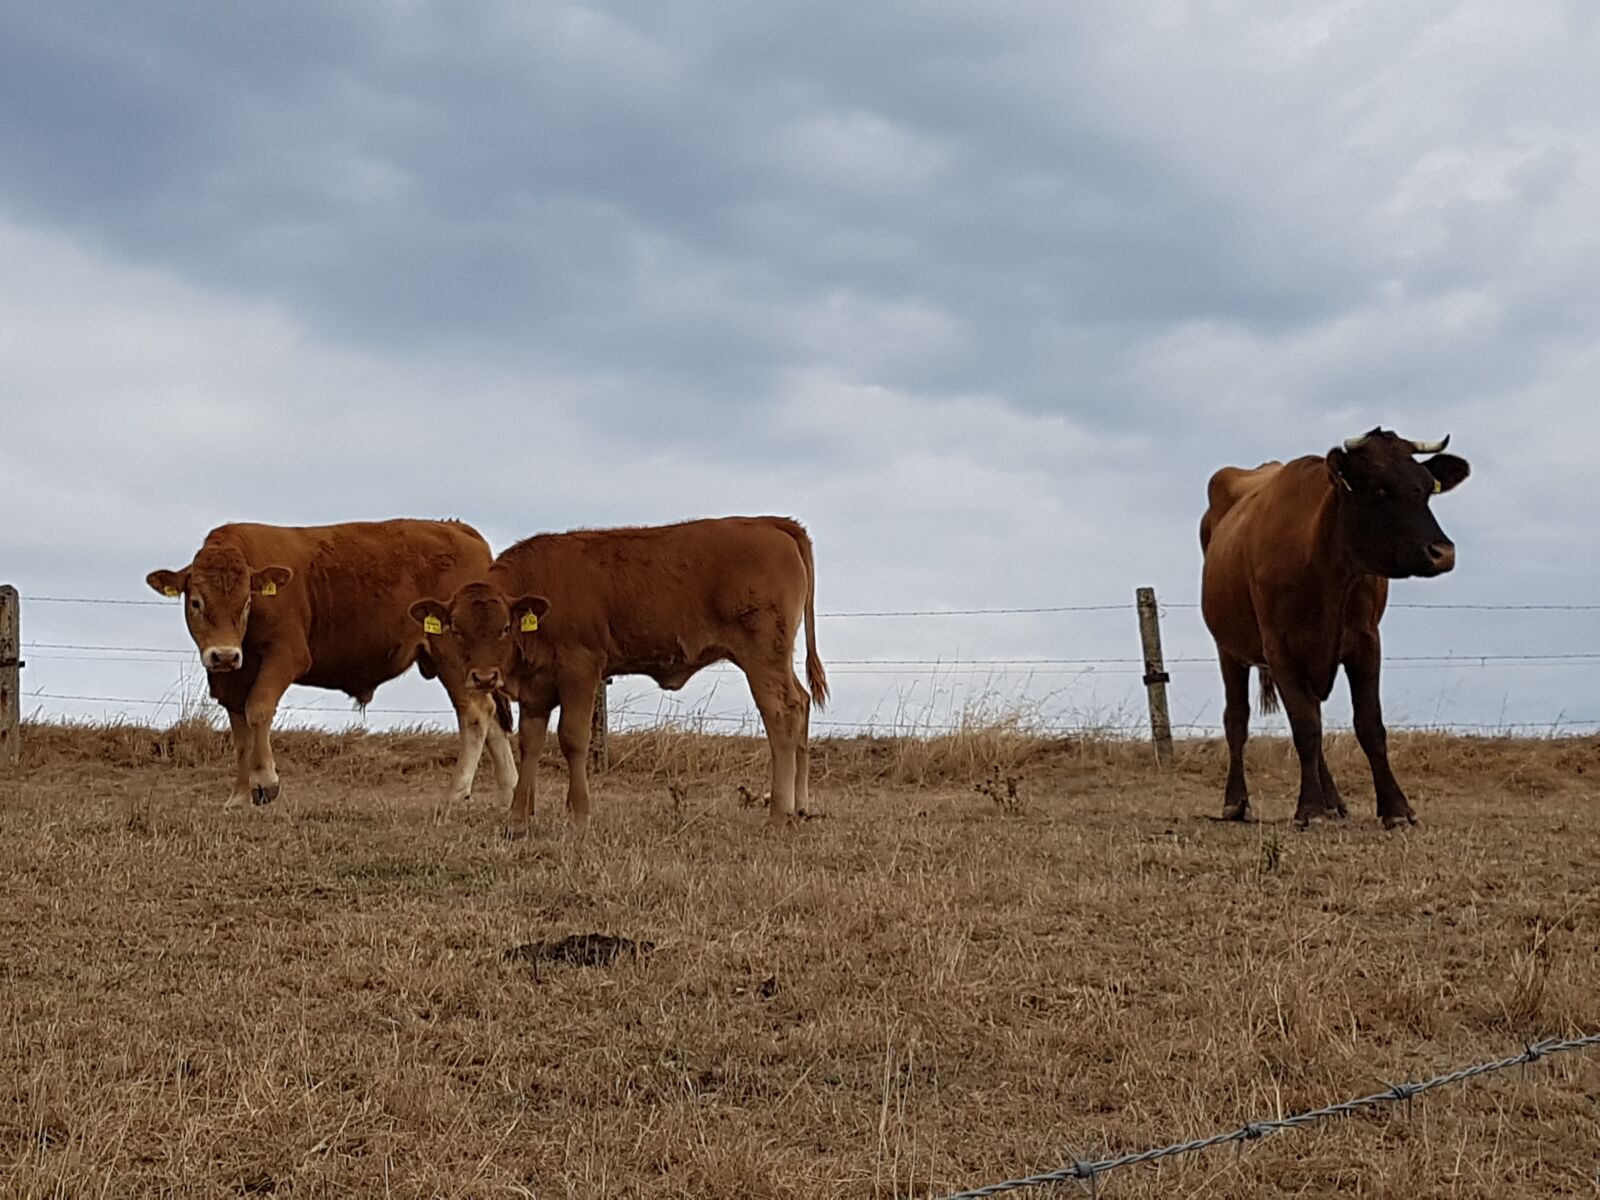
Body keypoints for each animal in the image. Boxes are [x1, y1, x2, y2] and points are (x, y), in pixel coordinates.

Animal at [146, 519, 517, 811]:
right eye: (196, 602)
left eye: (247, 602)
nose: (223, 655)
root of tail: (459, 529)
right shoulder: (231, 680)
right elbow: (240, 735)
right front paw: (239, 796)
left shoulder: (286, 655)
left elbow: (258, 709)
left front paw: (265, 782)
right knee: (494, 719)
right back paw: (508, 792)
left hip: (451, 655)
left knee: (476, 712)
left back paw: (457, 791)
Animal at [407, 516, 828, 833]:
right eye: (456, 628)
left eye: (505, 628)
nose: (482, 678)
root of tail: (770, 522)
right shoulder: (535, 689)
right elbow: (530, 743)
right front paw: (518, 816)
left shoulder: (581, 670)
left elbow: (572, 739)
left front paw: (578, 813)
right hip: (776, 660)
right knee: (801, 702)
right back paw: (800, 807)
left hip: (762, 657)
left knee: (781, 713)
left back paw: (778, 814)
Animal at [1199, 429, 1471, 828]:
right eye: (1380, 489)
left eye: (1426, 488)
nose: (1443, 552)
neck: (1325, 564)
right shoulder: (1279, 647)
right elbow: (1305, 727)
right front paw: (1309, 808)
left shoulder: (1366, 641)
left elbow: (1368, 724)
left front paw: (1395, 808)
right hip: (1229, 648)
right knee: (1237, 719)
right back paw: (1236, 802)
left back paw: (1334, 801)